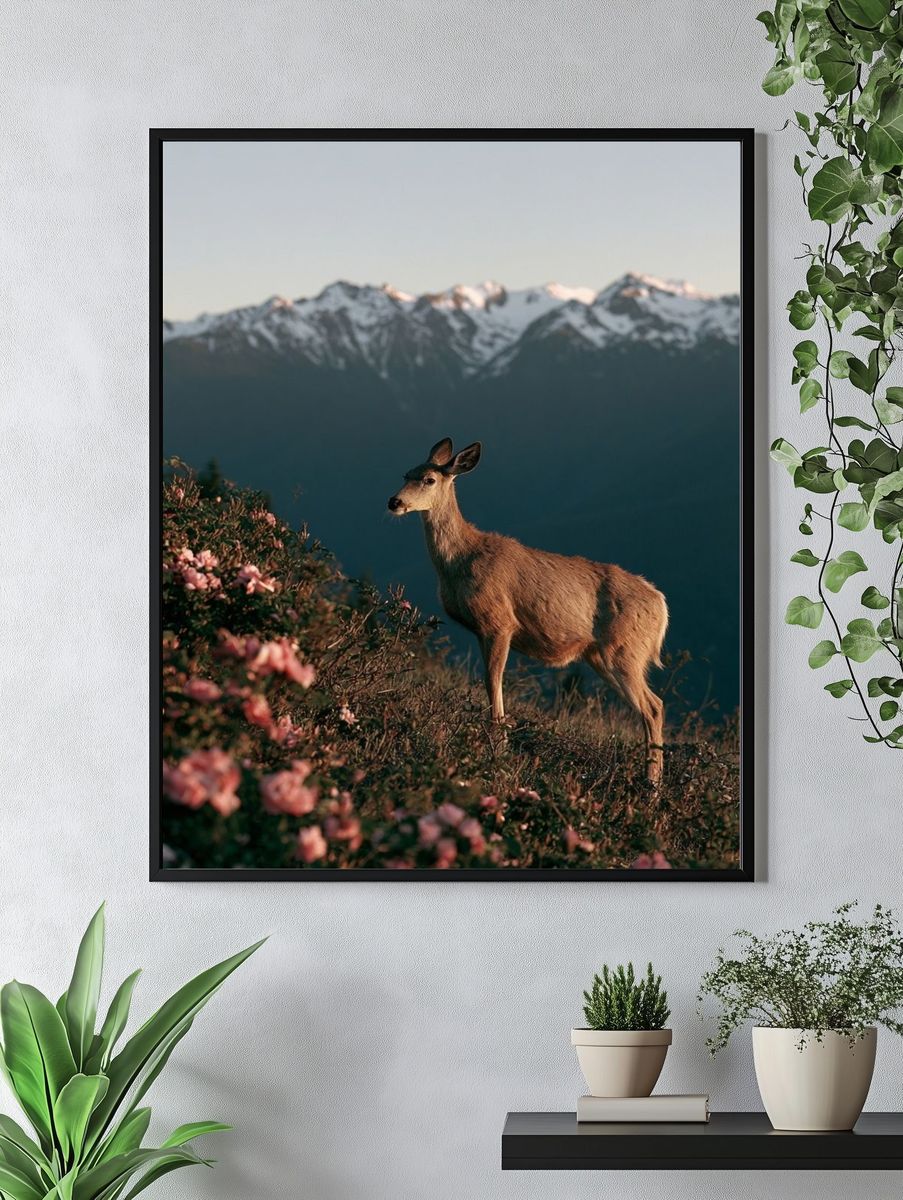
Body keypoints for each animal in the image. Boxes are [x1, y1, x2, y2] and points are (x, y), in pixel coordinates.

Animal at [387, 438, 669, 784]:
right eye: (406, 473)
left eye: (429, 479)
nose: (394, 501)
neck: (460, 560)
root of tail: (660, 604)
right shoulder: (482, 630)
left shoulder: (499, 621)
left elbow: (492, 682)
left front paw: (499, 749)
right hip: (601, 656)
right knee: (650, 707)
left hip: (625, 650)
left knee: (653, 707)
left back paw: (652, 784)